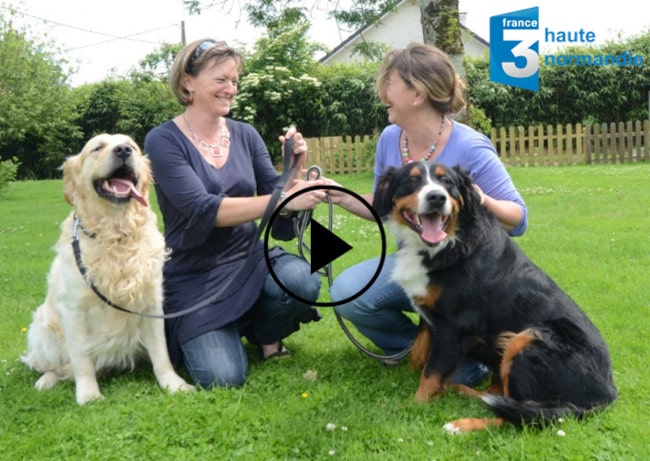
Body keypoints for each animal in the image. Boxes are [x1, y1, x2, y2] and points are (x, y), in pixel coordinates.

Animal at [23, 133, 195, 402]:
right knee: (53, 366)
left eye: (132, 145)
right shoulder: (73, 310)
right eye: (97, 147)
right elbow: (81, 359)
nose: (123, 150)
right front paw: (88, 395)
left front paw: (173, 384)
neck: (117, 235)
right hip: (42, 331)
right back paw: (46, 380)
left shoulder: (152, 303)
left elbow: (161, 353)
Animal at [372, 161, 616, 432]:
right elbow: (418, 352)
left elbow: (431, 373)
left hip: (528, 338)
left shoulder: (453, 325)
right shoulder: (428, 313)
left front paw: (412, 406)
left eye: (447, 182)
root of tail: (605, 396)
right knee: (499, 397)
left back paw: (462, 425)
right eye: (412, 181)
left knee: (518, 416)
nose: (436, 197)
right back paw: (461, 390)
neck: (449, 243)